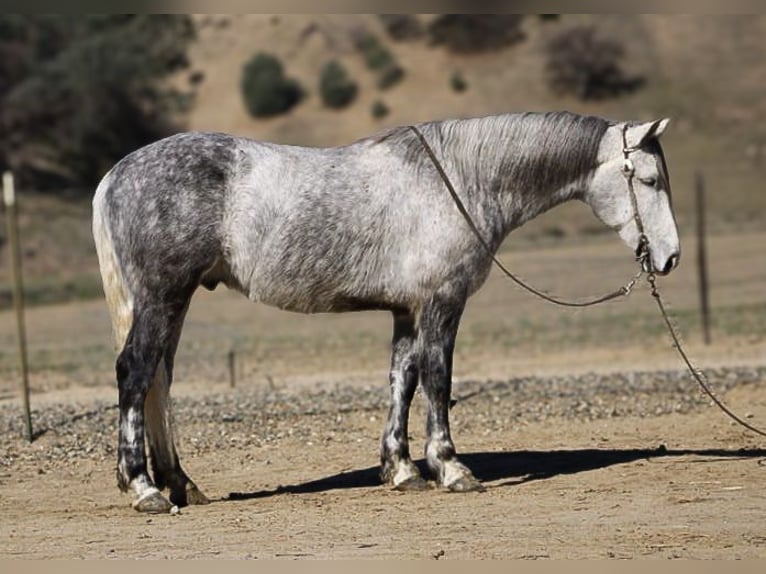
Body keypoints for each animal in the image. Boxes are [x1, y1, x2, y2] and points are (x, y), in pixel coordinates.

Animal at [92, 111, 679, 512]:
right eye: (650, 180)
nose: (670, 258)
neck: (462, 179)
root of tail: (115, 175)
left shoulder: (406, 310)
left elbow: (404, 380)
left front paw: (401, 470)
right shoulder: (442, 302)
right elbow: (439, 381)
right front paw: (451, 468)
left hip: (173, 302)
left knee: (158, 380)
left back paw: (180, 483)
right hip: (163, 297)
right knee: (135, 372)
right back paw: (143, 488)